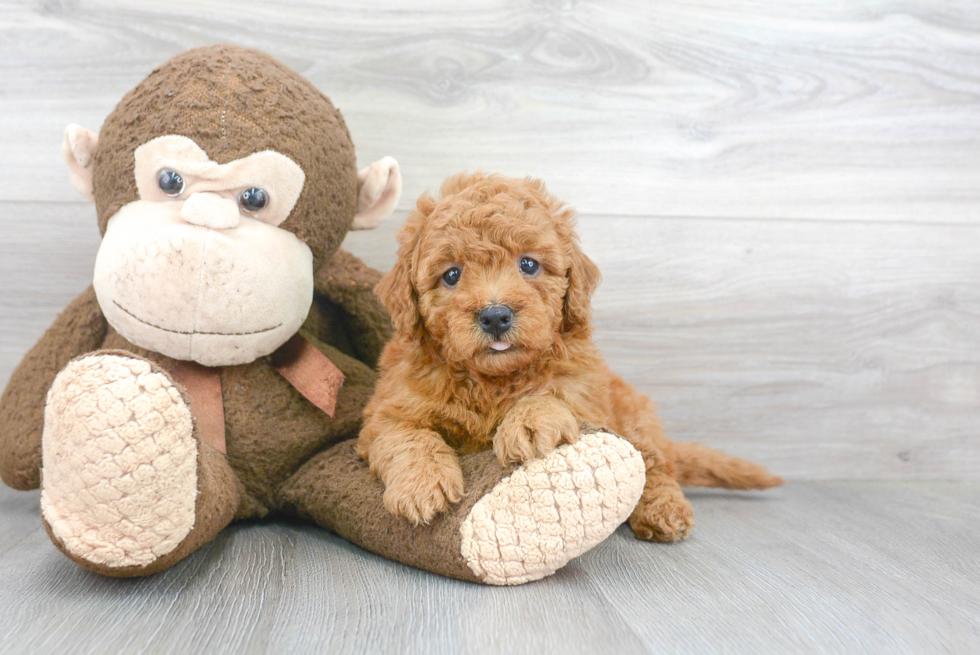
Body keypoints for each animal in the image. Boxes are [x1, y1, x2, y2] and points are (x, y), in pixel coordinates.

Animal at [360, 173, 780, 544]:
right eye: (451, 275)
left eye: (528, 264)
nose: (495, 315)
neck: (492, 380)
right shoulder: (388, 410)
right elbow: (407, 437)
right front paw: (421, 486)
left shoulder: (585, 391)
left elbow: (553, 393)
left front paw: (528, 422)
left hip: (635, 417)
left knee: (655, 467)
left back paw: (664, 511)